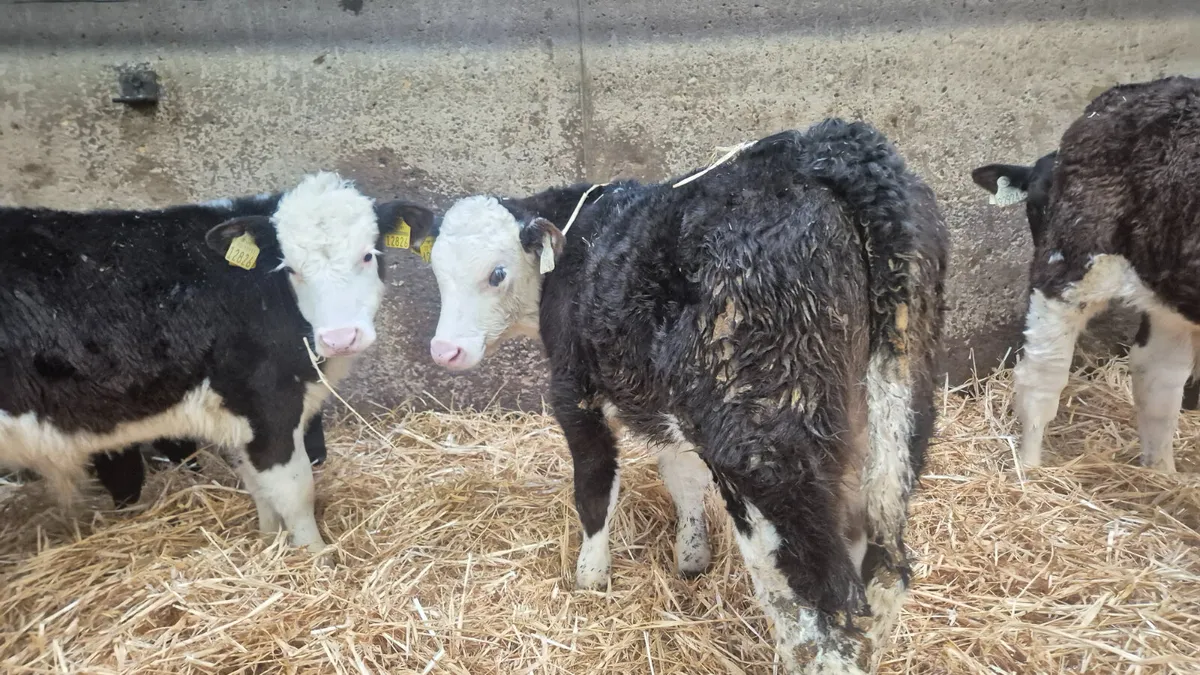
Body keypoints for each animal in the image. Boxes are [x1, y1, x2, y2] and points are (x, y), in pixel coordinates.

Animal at [411, 120, 948, 673]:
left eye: (496, 273)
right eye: (436, 271)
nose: (445, 350)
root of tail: (830, 147)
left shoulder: (574, 394)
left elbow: (594, 488)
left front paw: (590, 576)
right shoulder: (670, 405)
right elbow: (683, 476)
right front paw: (691, 556)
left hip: (763, 448)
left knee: (820, 601)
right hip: (894, 425)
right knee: (883, 575)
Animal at [971, 75, 1200, 473]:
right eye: (1032, 203)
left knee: (1159, 377)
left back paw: (1163, 476)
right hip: (1071, 260)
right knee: (1041, 378)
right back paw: (1029, 474)